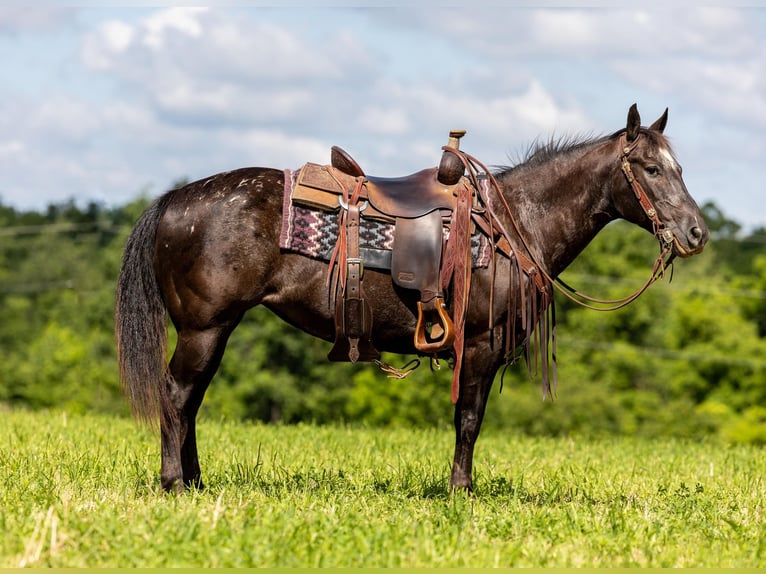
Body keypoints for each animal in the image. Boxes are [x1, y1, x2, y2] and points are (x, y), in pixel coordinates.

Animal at [115, 104, 712, 496]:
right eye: (651, 169)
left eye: (680, 168)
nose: (696, 233)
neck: (514, 225)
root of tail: (175, 199)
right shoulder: (479, 346)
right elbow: (469, 419)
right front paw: (460, 491)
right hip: (204, 328)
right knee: (177, 394)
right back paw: (174, 482)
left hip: (216, 329)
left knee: (190, 399)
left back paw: (195, 481)